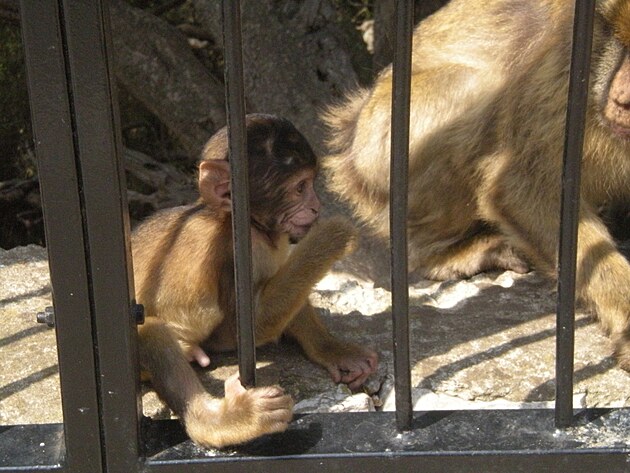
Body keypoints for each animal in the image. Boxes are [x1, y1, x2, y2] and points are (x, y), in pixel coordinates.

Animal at [133, 113, 378, 446]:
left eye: (310, 183)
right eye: (300, 188)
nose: (316, 206)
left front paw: (333, 350)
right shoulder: (230, 251)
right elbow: (239, 329)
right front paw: (331, 236)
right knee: (149, 331)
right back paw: (227, 420)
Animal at [326, 0, 630, 366]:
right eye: (624, 44)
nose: (624, 100)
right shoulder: (565, 72)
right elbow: (519, 187)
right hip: (378, 149)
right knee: (476, 88)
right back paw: (444, 256)